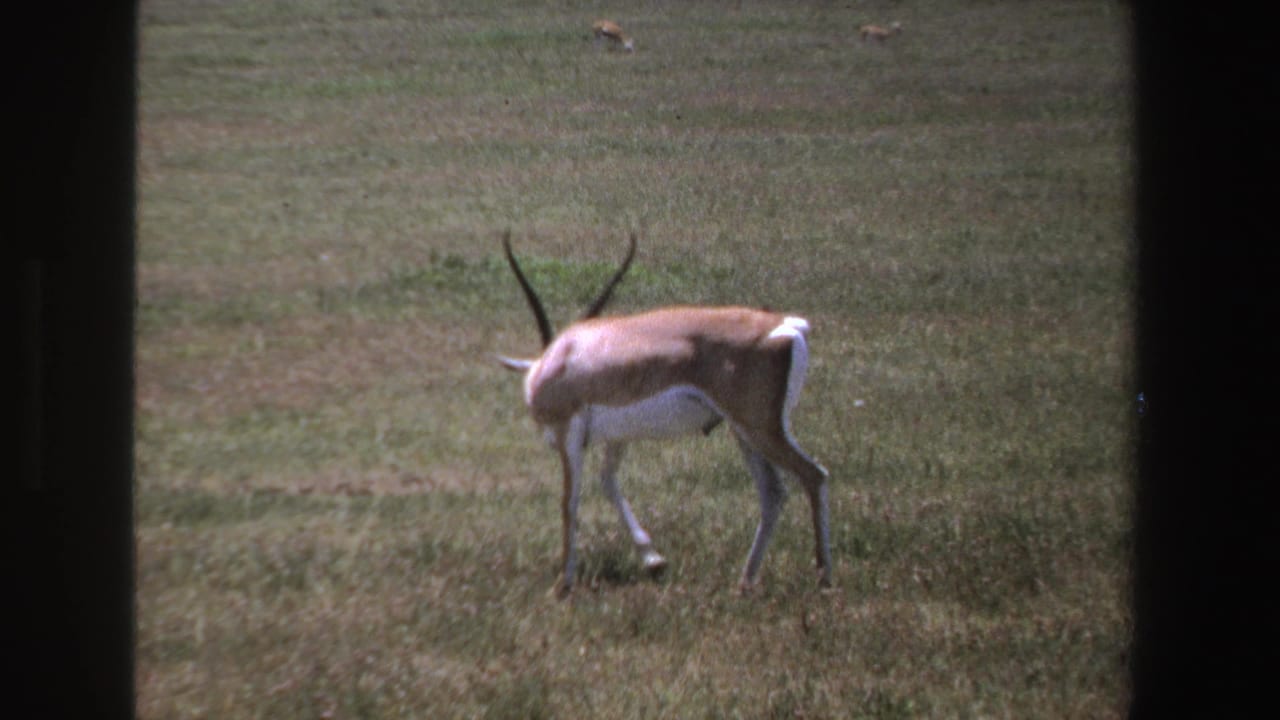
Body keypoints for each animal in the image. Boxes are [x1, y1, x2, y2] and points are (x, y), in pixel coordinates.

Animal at [497, 232, 831, 598]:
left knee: (813, 475)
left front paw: (563, 584)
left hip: (760, 429)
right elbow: (608, 482)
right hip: (744, 431)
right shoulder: (619, 437)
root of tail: (787, 327)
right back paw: (744, 583)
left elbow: (569, 501)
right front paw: (654, 560)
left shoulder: (568, 431)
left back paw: (823, 578)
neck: (564, 357)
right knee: (773, 492)